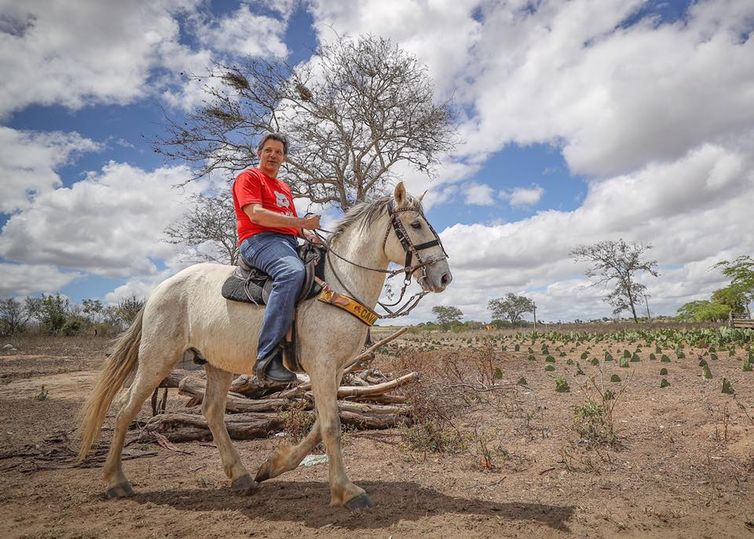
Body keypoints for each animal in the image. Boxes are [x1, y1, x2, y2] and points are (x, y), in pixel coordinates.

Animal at [78, 182, 450, 510]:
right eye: (416, 225)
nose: (445, 277)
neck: (339, 283)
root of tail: (159, 289)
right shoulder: (322, 366)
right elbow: (331, 425)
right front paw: (347, 491)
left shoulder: (333, 370)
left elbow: (321, 424)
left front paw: (274, 465)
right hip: (157, 359)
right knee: (125, 408)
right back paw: (115, 482)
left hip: (218, 364)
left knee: (211, 412)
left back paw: (242, 476)